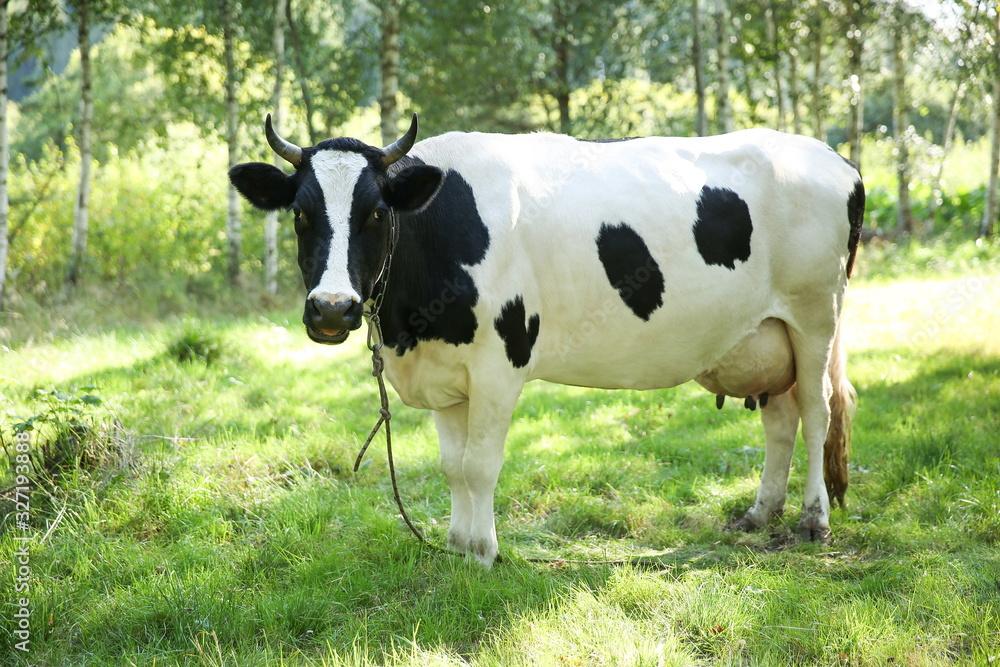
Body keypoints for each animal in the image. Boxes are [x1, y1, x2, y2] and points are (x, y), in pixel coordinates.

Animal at [229, 113, 860, 568]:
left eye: (377, 212)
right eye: (300, 213)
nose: (333, 309)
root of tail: (832, 157)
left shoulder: (498, 366)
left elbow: (480, 466)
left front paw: (484, 554)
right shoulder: (446, 372)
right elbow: (453, 466)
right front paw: (457, 546)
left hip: (815, 316)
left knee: (817, 411)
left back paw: (813, 520)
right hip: (765, 333)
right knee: (780, 417)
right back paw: (760, 514)